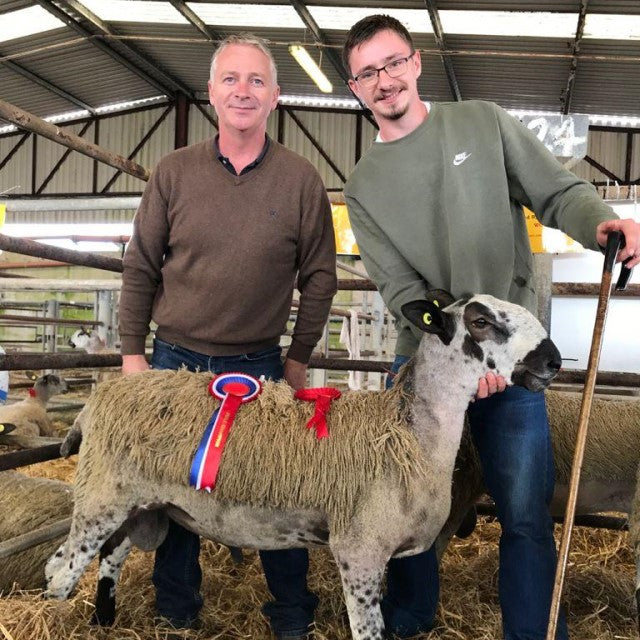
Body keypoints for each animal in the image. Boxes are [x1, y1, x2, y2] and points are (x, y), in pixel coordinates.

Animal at [45, 294, 560, 640]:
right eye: (480, 321)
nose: (553, 359)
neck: (409, 434)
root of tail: (101, 395)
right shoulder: (359, 550)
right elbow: (367, 630)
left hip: (140, 506)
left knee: (104, 558)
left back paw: (104, 620)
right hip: (101, 496)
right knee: (61, 573)